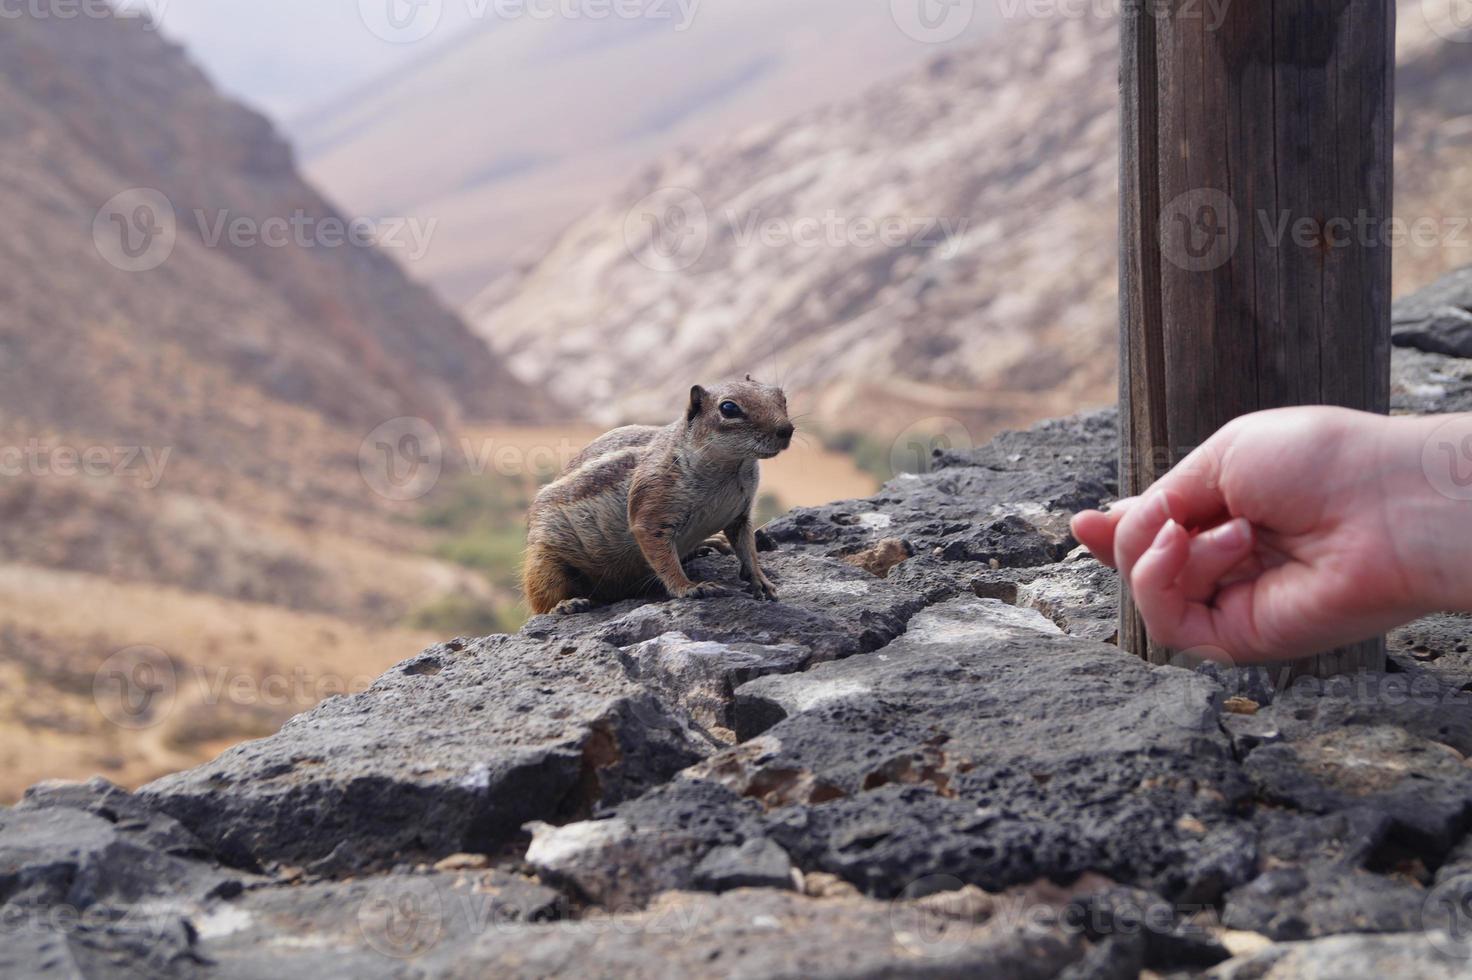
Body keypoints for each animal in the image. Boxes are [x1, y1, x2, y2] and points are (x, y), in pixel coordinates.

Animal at [521, 379, 794, 615]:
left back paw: (708, 544)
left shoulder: (740, 514)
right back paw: (567, 604)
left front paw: (761, 581)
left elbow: (748, 549)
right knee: (542, 600)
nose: (787, 430)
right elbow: (663, 559)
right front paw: (689, 587)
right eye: (729, 408)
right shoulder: (653, 501)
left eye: (782, 396)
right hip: (544, 560)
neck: (731, 468)